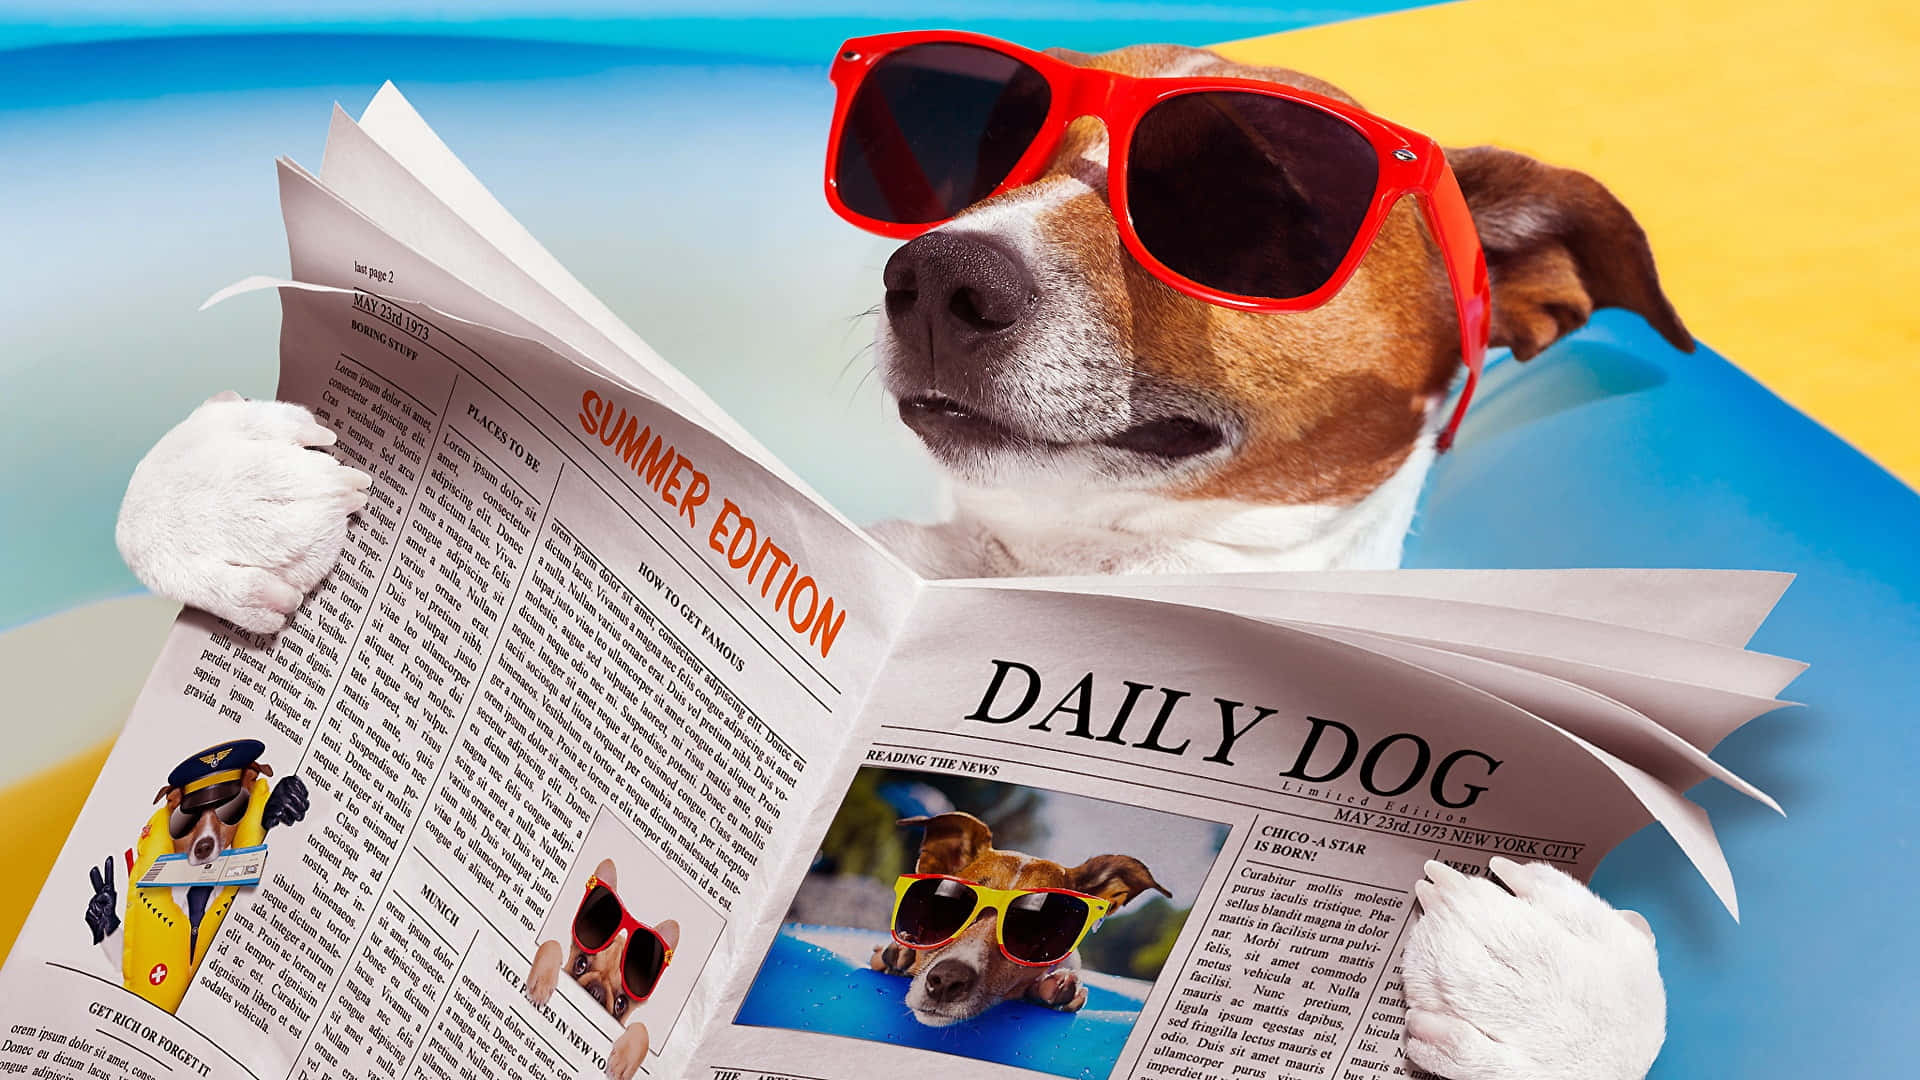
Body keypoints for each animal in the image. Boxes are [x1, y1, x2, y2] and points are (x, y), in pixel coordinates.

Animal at [522, 857, 679, 1076]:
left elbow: (642, 1028)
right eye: (580, 964)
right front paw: (542, 982)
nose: (596, 991)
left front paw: (624, 1059)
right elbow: (551, 944)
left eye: (621, 1004)